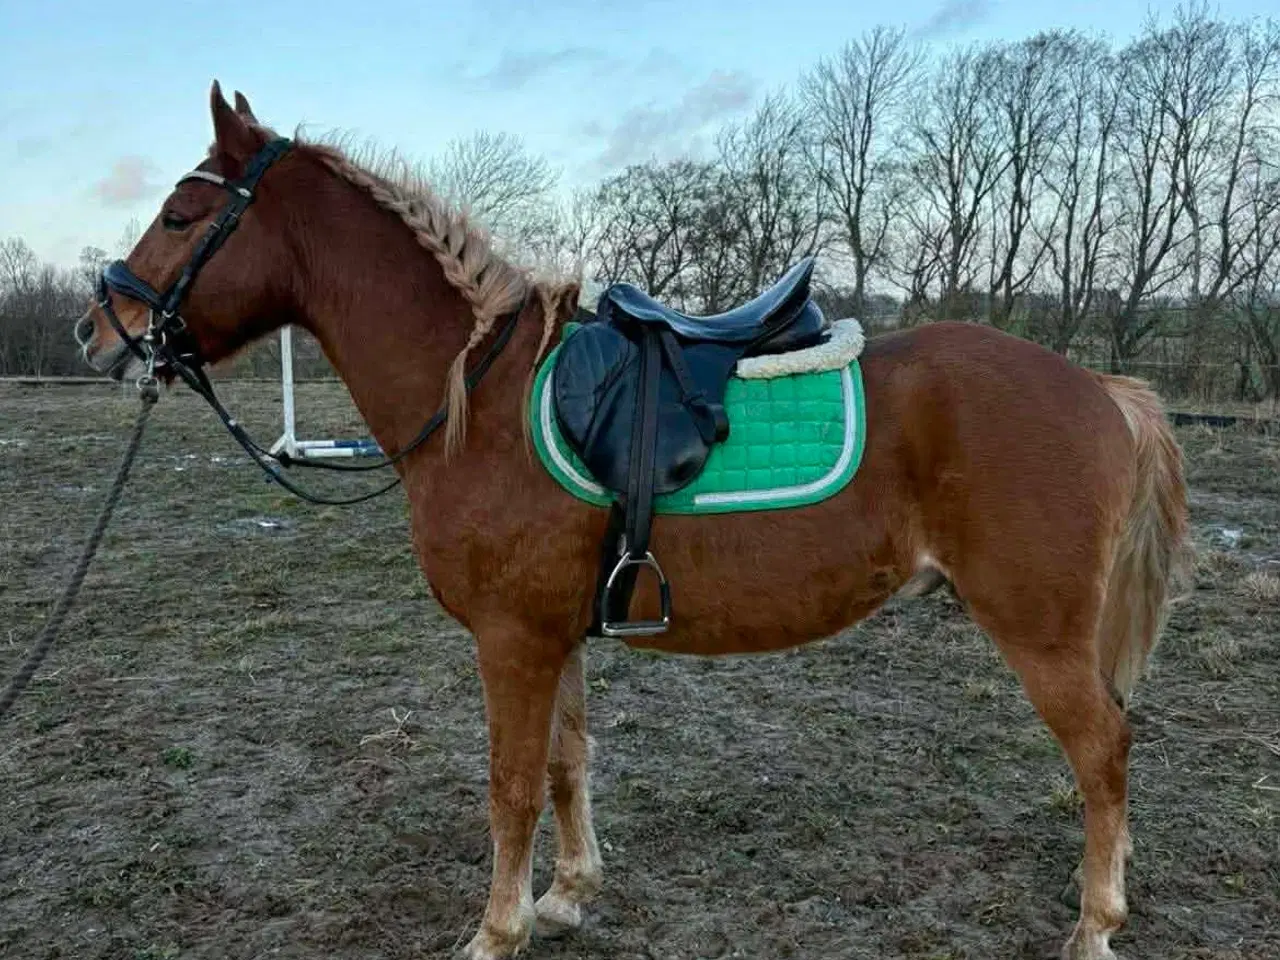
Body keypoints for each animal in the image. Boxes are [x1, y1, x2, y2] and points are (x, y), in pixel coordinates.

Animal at [75, 83, 1192, 960]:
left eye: (180, 214)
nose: (99, 328)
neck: (476, 397)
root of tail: (1100, 389)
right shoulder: (553, 634)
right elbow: (568, 762)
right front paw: (568, 896)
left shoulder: (510, 641)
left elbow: (511, 784)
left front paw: (497, 931)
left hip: (1035, 629)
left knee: (1103, 748)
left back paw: (1094, 923)